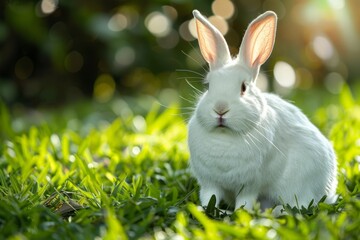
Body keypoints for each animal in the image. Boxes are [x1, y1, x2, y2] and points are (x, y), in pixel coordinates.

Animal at [188, 10, 338, 211]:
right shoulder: (210, 183)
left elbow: (245, 201)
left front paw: (239, 213)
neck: (224, 136)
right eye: (208, 86)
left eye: (243, 87)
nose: (220, 109)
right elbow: (209, 197)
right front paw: (204, 210)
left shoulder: (250, 186)